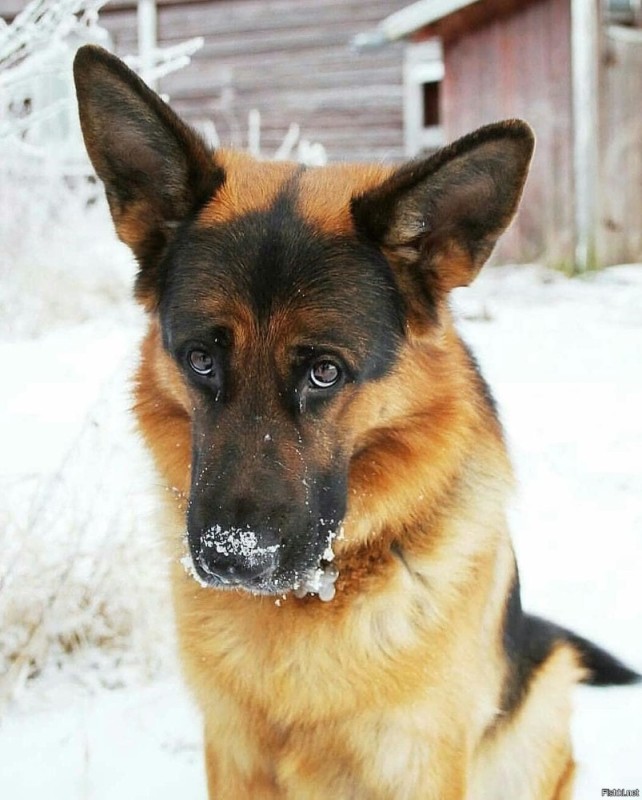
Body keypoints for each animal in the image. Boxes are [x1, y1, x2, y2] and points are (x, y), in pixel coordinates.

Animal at [74, 47, 636, 796]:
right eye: (200, 359)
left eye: (324, 372)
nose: (232, 557)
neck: (310, 599)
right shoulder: (232, 755)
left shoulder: (419, 763)